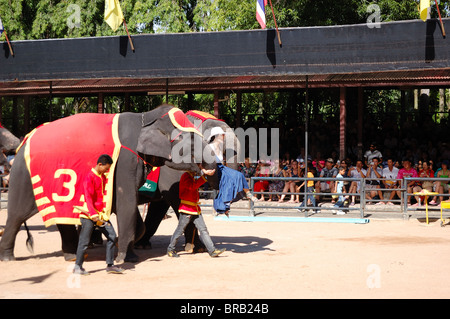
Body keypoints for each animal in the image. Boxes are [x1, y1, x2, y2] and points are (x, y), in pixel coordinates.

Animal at [0, 105, 218, 262]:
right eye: (191, 143)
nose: (204, 171)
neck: (145, 118)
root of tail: (25, 140)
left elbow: (133, 210)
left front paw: (128, 251)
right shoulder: (126, 160)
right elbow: (127, 202)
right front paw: (124, 257)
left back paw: (71, 255)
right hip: (23, 175)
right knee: (17, 215)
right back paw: (9, 258)